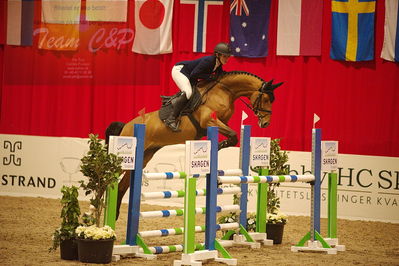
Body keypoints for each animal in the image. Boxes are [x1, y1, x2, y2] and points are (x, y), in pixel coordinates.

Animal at [104, 70, 282, 218]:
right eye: (266, 99)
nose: (265, 123)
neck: (224, 92)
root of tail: (127, 125)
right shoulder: (209, 121)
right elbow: (233, 136)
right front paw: (217, 148)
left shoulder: (220, 123)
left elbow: (232, 137)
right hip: (125, 158)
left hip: (143, 157)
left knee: (122, 186)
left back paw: (115, 215)